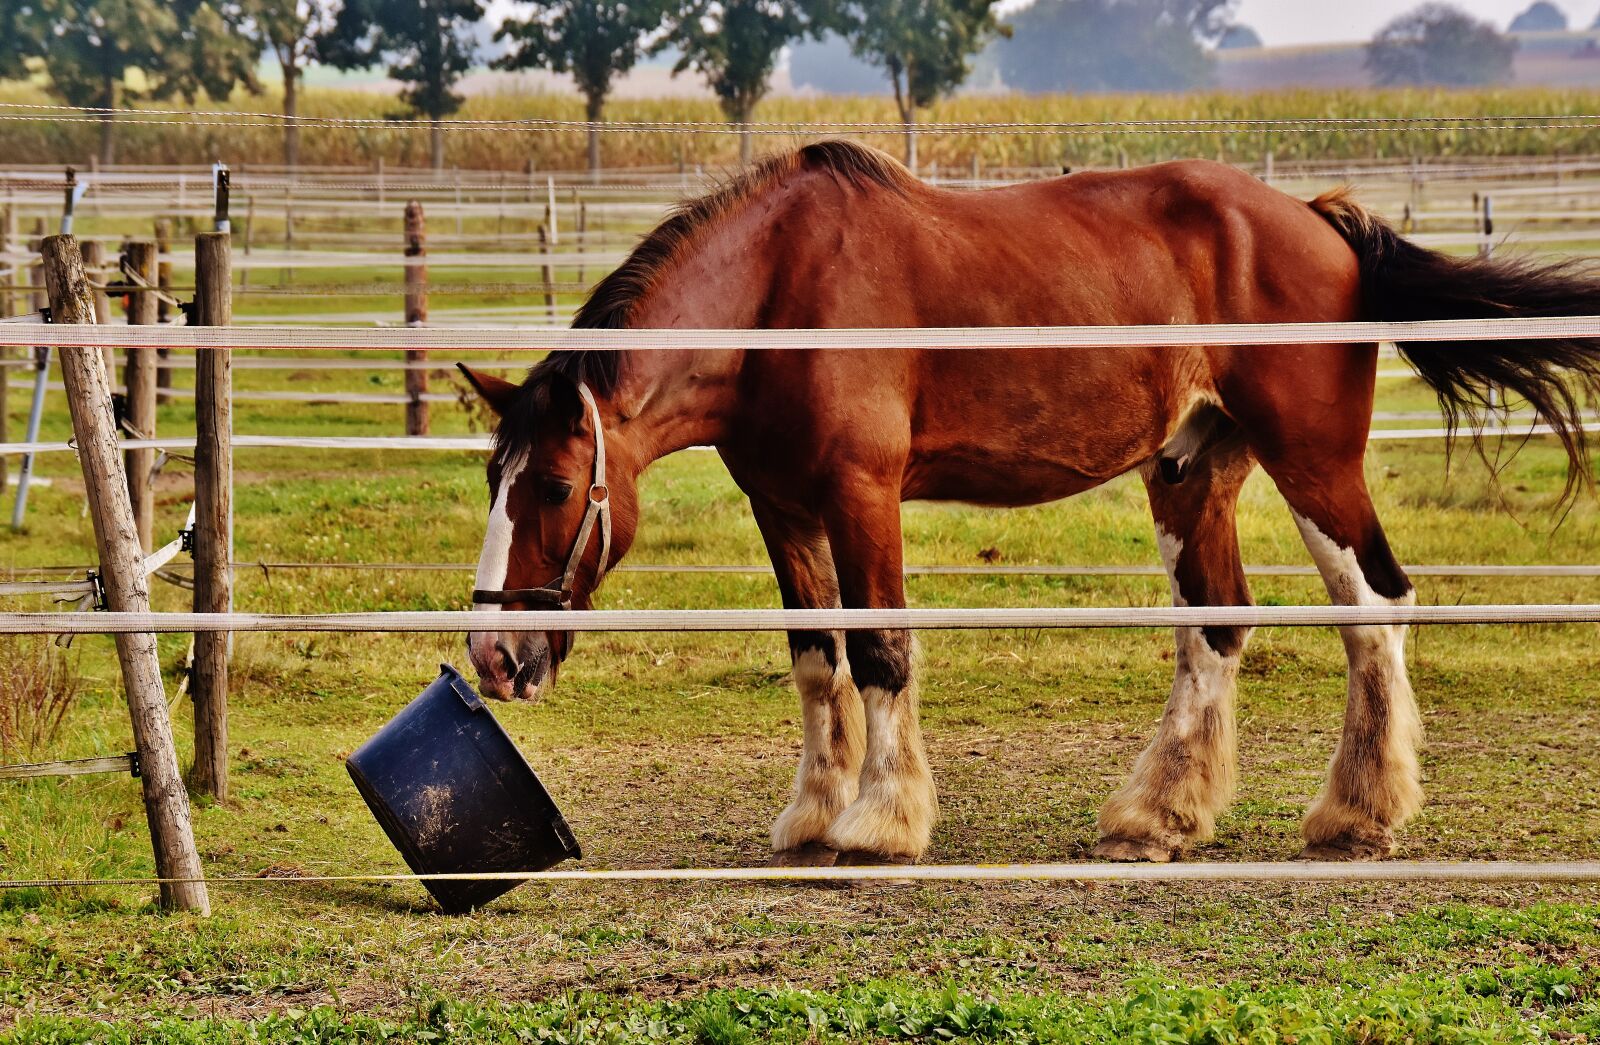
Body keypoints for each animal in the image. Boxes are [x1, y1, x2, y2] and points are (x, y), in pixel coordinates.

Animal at [459, 140, 1600, 867]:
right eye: (490, 481)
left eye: (552, 484)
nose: (493, 656)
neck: (779, 294)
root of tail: (1318, 221)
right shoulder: (782, 506)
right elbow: (816, 658)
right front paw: (813, 813)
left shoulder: (860, 493)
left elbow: (879, 649)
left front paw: (881, 821)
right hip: (1193, 469)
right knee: (1217, 626)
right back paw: (1157, 816)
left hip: (1312, 459)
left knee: (1373, 606)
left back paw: (1357, 813)